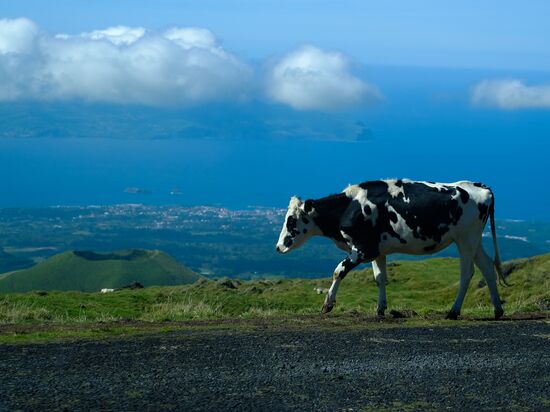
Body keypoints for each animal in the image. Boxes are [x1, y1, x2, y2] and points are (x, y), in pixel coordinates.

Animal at [276, 179, 508, 318]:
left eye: (291, 220)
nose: (278, 247)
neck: (349, 208)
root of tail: (480, 187)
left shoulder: (363, 249)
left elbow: (338, 270)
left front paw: (327, 304)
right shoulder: (378, 251)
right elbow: (380, 278)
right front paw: (380, 309)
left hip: (466, 239)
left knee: (467, 272)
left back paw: (453, 311)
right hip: (473, 240)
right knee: (487, 267)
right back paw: (497, 309)